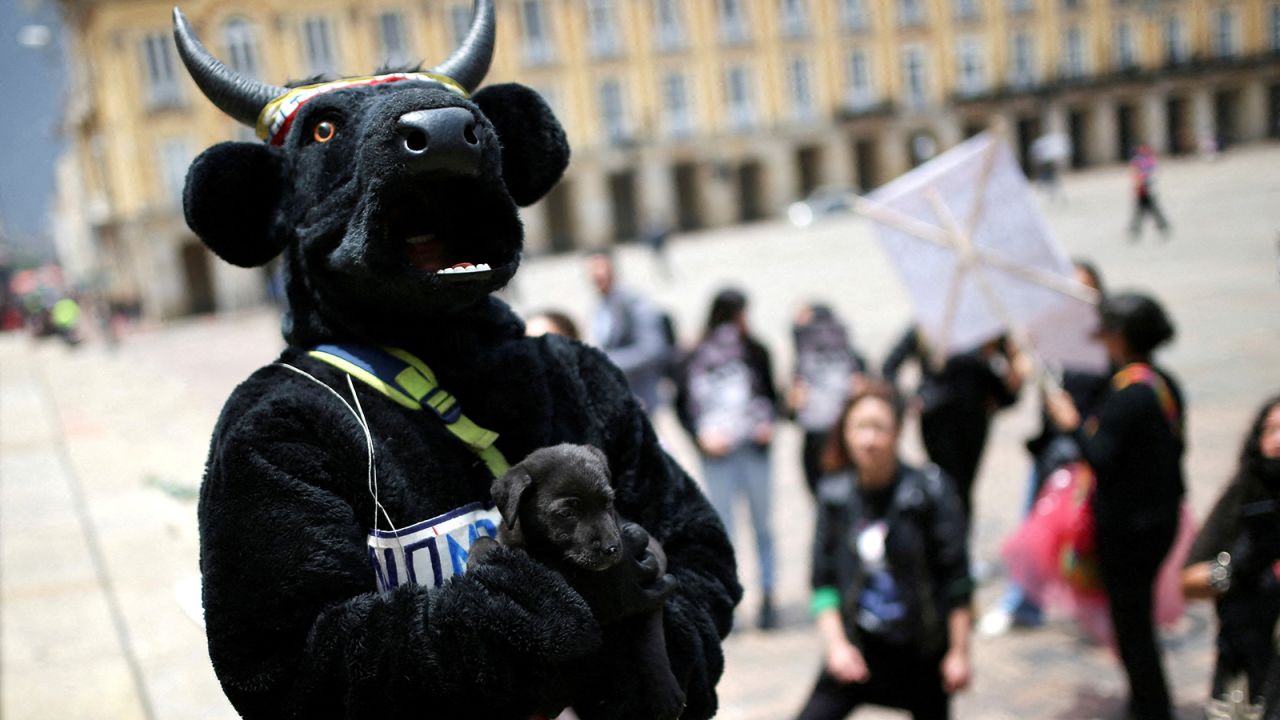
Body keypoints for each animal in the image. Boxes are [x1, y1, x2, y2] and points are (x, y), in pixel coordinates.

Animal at [471, 443, 686, 717]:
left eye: (608, 502)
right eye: (566, 513)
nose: (612, 549)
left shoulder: (652, 573)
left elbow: (651, 639)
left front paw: (665, 691)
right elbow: (484, 541)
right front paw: (480, 560)